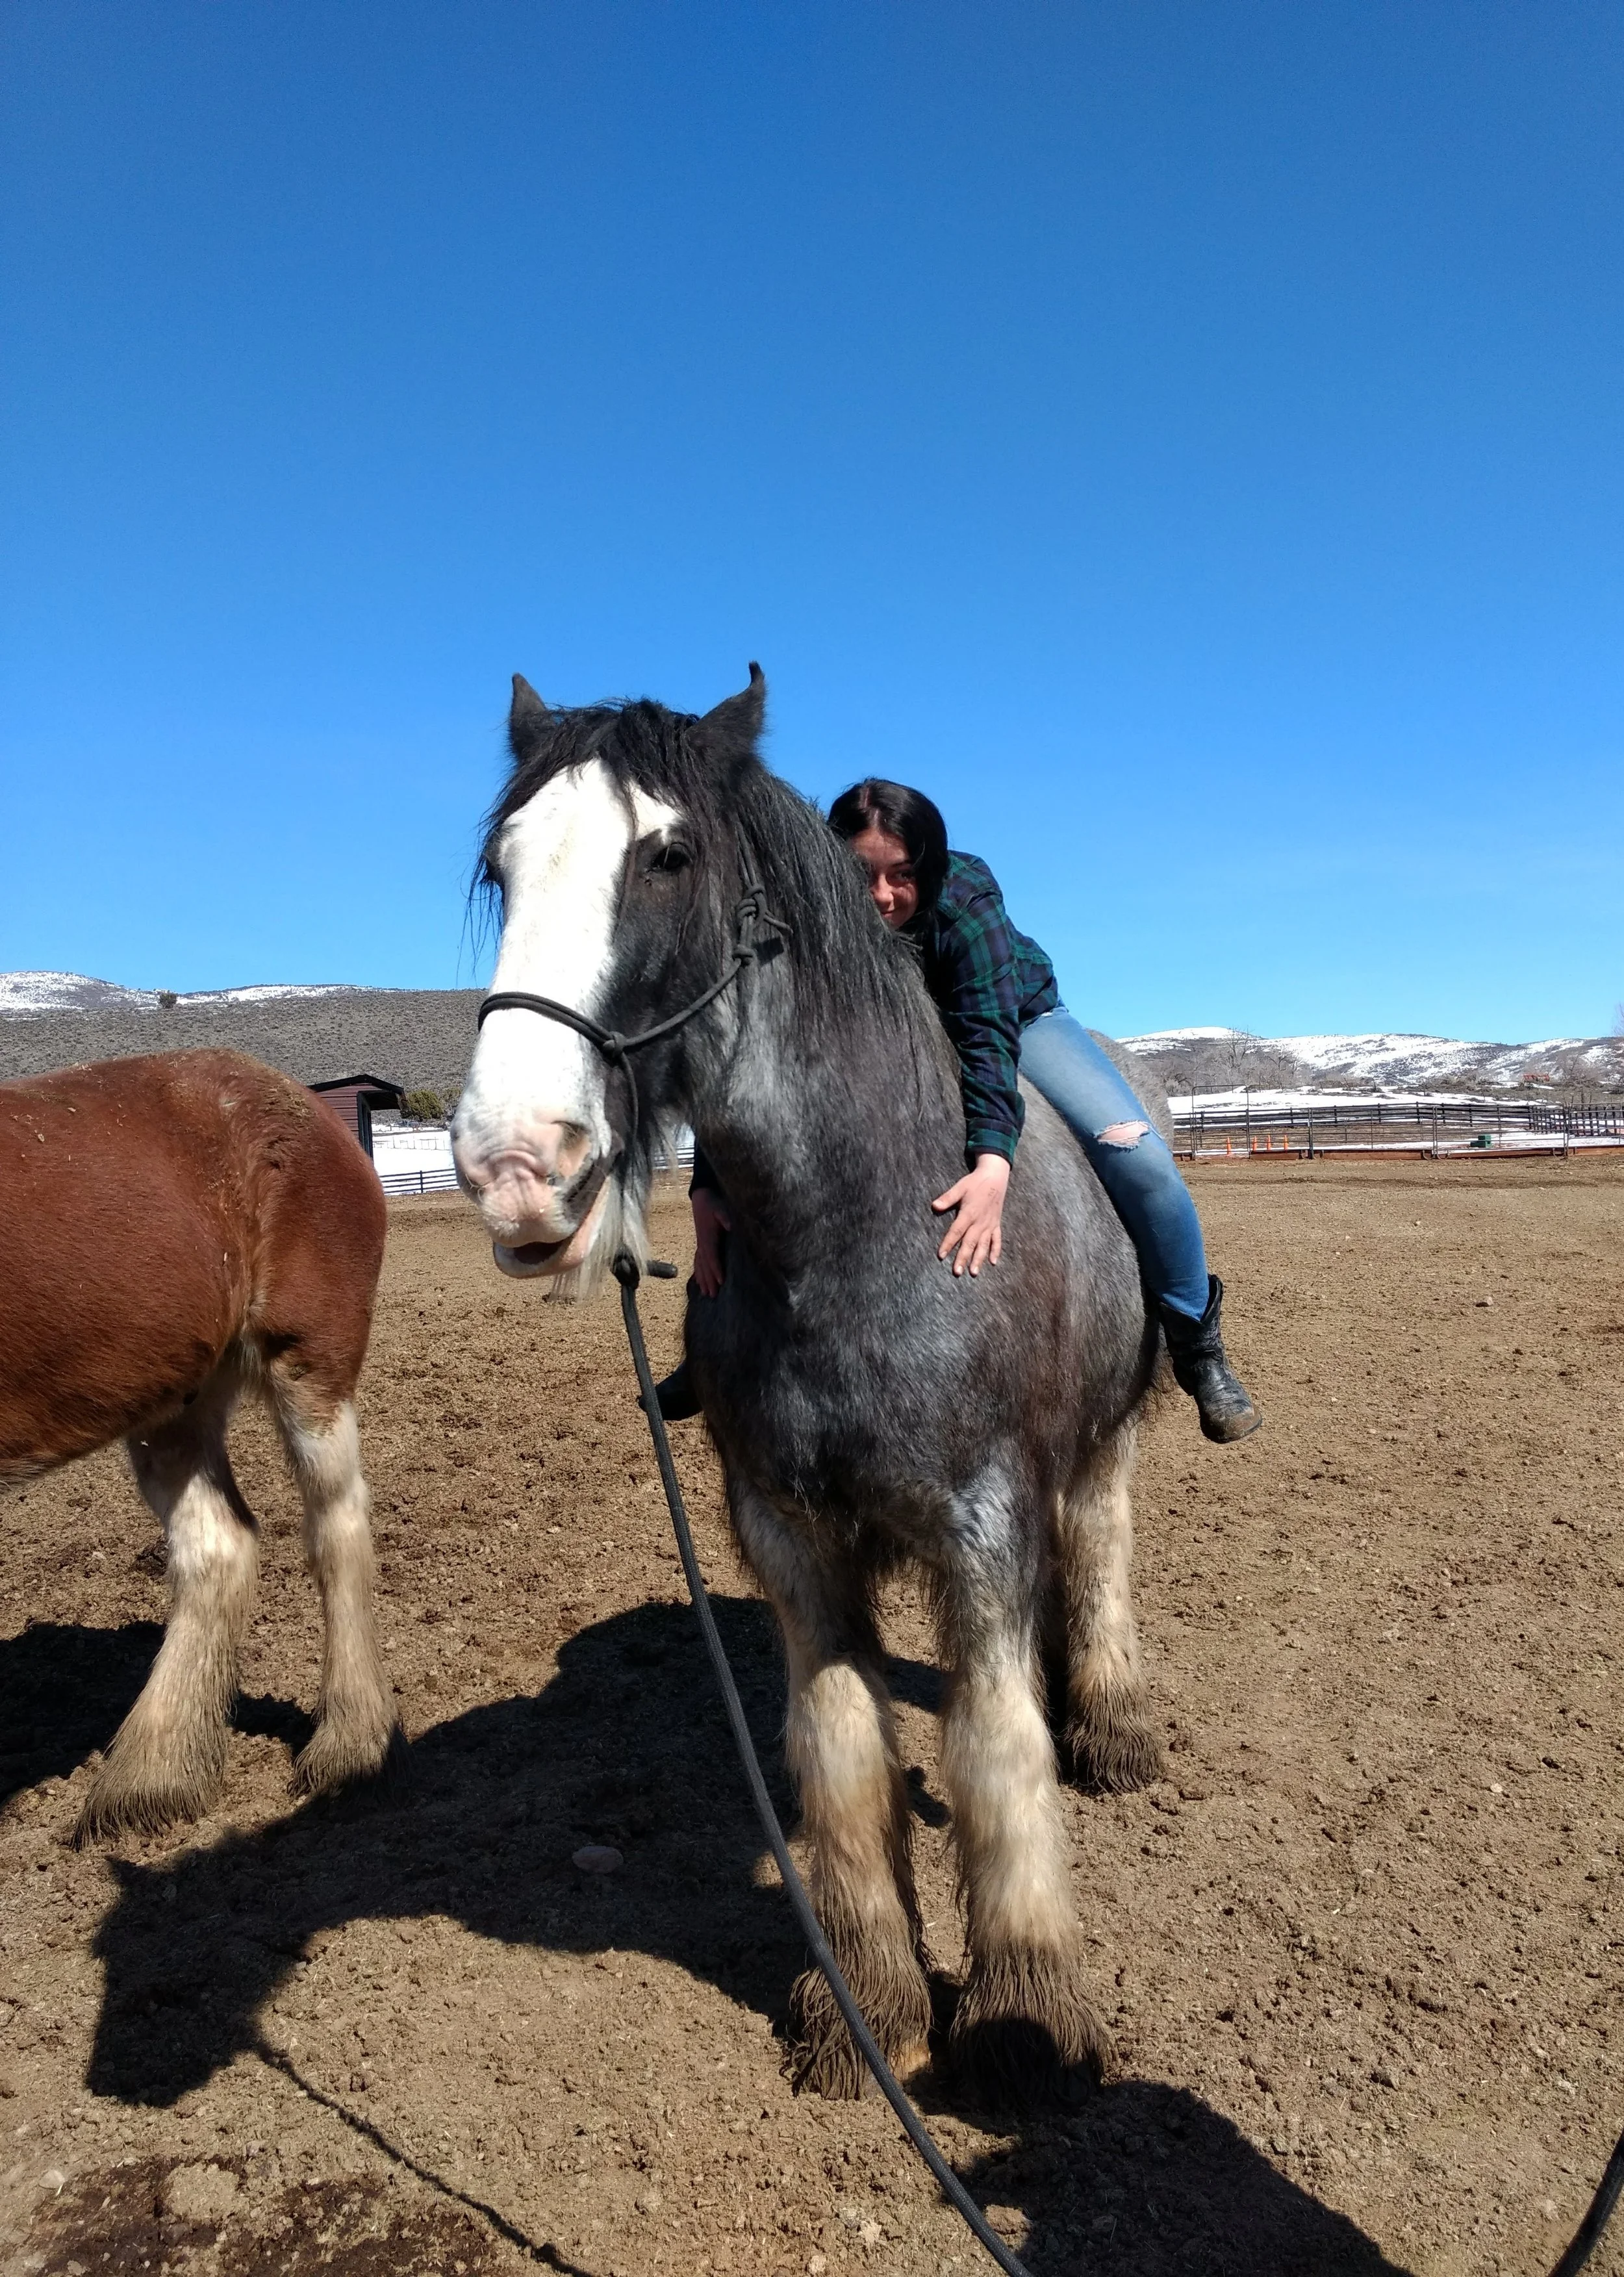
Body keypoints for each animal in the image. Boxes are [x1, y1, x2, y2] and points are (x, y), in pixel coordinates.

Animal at [1, 1049, 398, 1842]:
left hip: (310, 1361)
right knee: (218, 1543)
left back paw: (348, 1742)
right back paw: (154, 1774)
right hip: (173, 1397)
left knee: (336, 1526)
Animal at [452, 669, 1166, 2101]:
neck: (862, 1227)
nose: (515, 1166)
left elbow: (995, 1746)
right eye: (501, 869)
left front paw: (1024, 2012)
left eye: (668, 856)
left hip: (1105, 1434)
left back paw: (1109, 1724)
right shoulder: (786, 1532)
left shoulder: (982, 1521)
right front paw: (868, 2009)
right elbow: (839, 1757)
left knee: (1102, 1545)